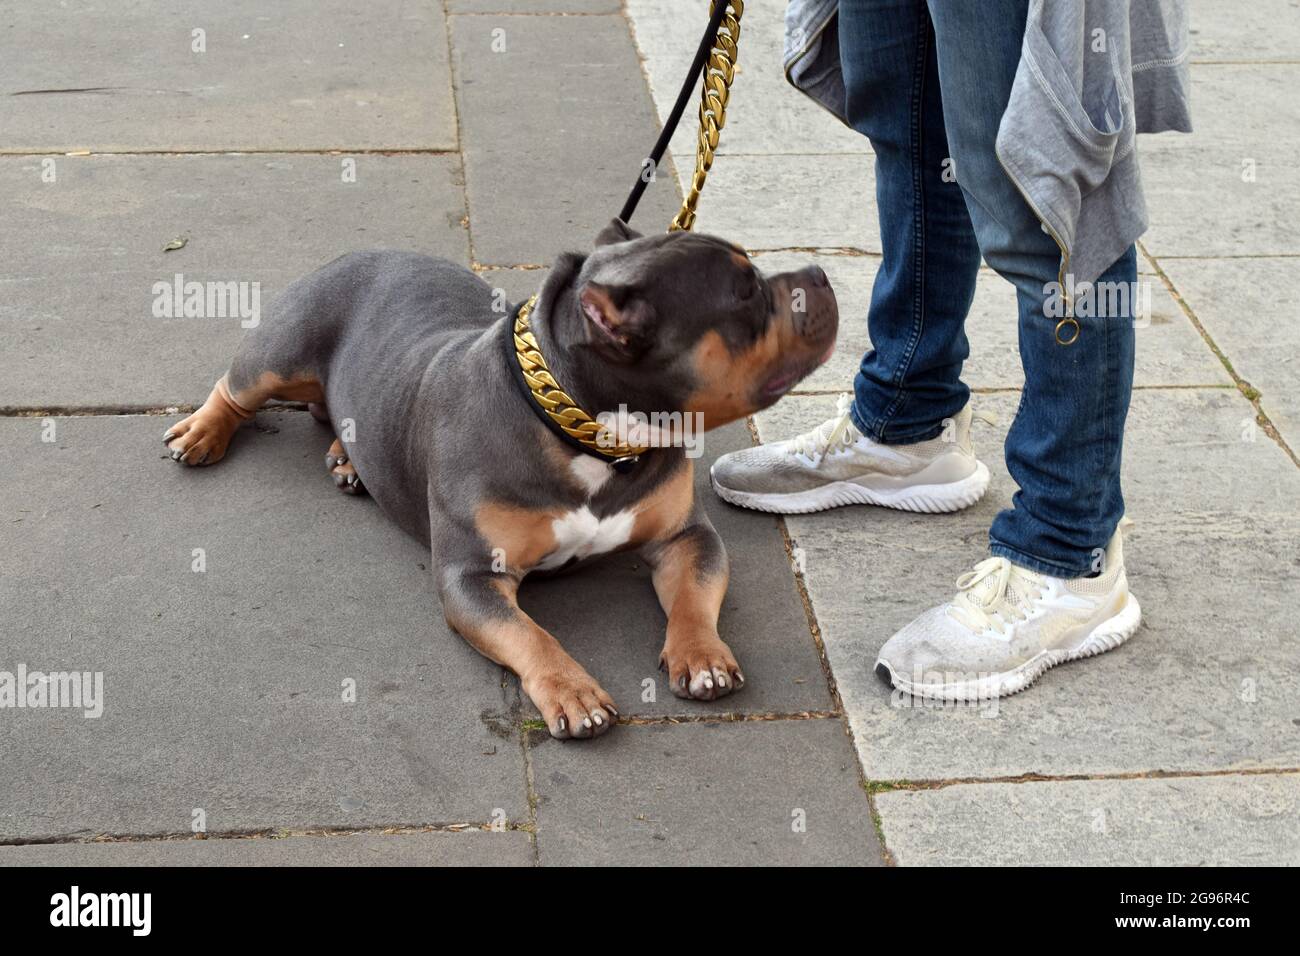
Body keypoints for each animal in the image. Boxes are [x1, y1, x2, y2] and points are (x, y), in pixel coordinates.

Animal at [162, 222, 837, 738]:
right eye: (745, 293)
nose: (822, 273)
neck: (591, 434)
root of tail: (364, 251)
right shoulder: (472, 577)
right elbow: (530, 635)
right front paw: (573, 693)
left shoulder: (686, 536)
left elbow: (696, 593)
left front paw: (702, 657)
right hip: (281, 352)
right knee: (237, 387)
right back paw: (202, 432)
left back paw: (348, 459)